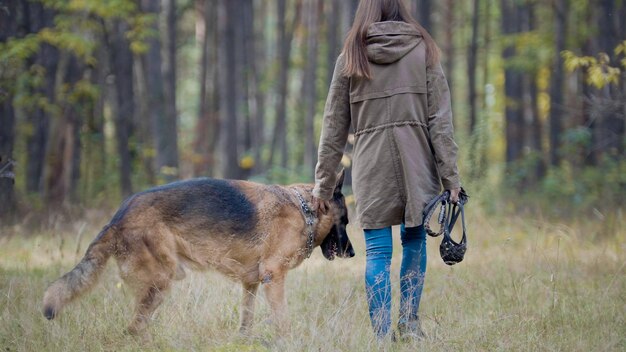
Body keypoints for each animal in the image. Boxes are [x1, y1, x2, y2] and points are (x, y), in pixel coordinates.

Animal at [43, 170, 354, 338]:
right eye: (346, 222)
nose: (352, 253)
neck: (304, 209)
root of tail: (117, 218)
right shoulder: (273, 278)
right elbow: (283, 321)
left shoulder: (251, 284)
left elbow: (246, 319)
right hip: (160, 282)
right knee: (134, 328)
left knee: (134, 327)